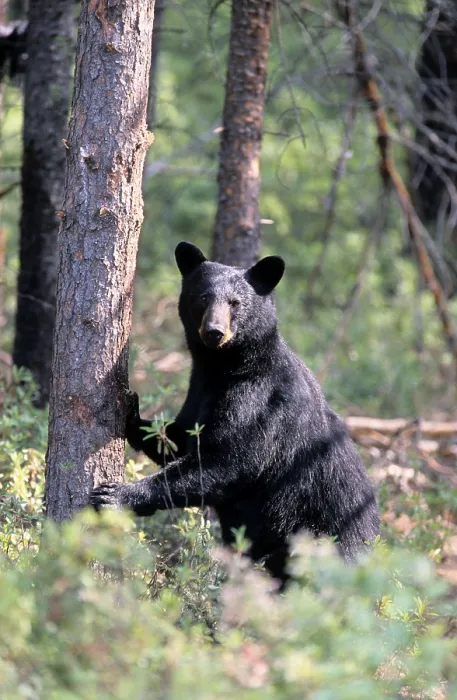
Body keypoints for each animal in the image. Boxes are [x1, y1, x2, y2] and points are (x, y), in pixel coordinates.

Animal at [90, 241, 380, 586]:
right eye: (203, 297)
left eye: (235, 302)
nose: (214, 331)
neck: (225, 367)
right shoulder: (199, 391)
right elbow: (181, 439)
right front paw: (131, 410)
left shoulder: (258, 402)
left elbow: (229, 460)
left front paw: (116, 494)